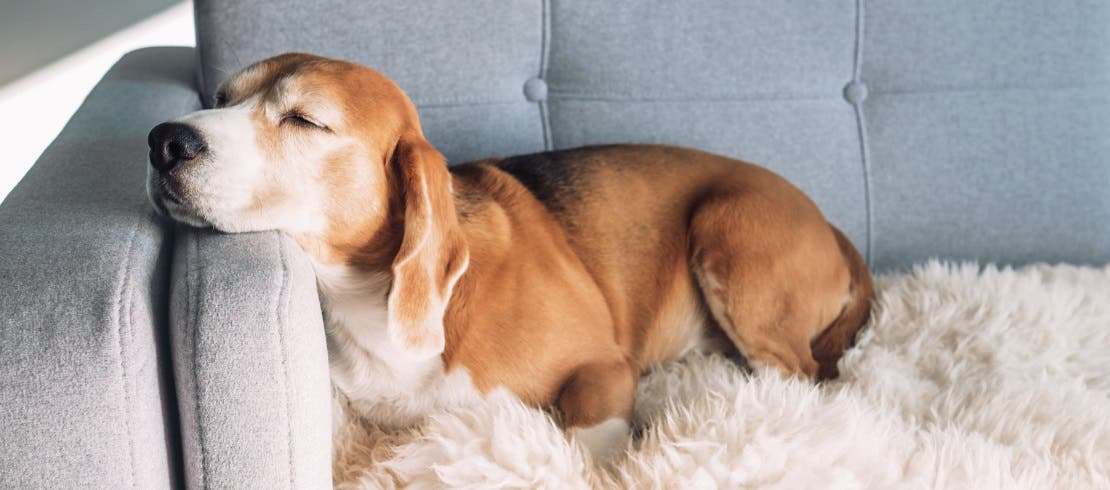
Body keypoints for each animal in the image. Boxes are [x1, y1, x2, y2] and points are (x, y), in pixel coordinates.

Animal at [145, 52, 874, 462]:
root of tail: (830, 225)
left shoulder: (603, 369)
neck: (366, 298)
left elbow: (588, 443)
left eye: (304, 120)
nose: (162, 141)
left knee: (801, 374)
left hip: (727, 229)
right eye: (220, 99)